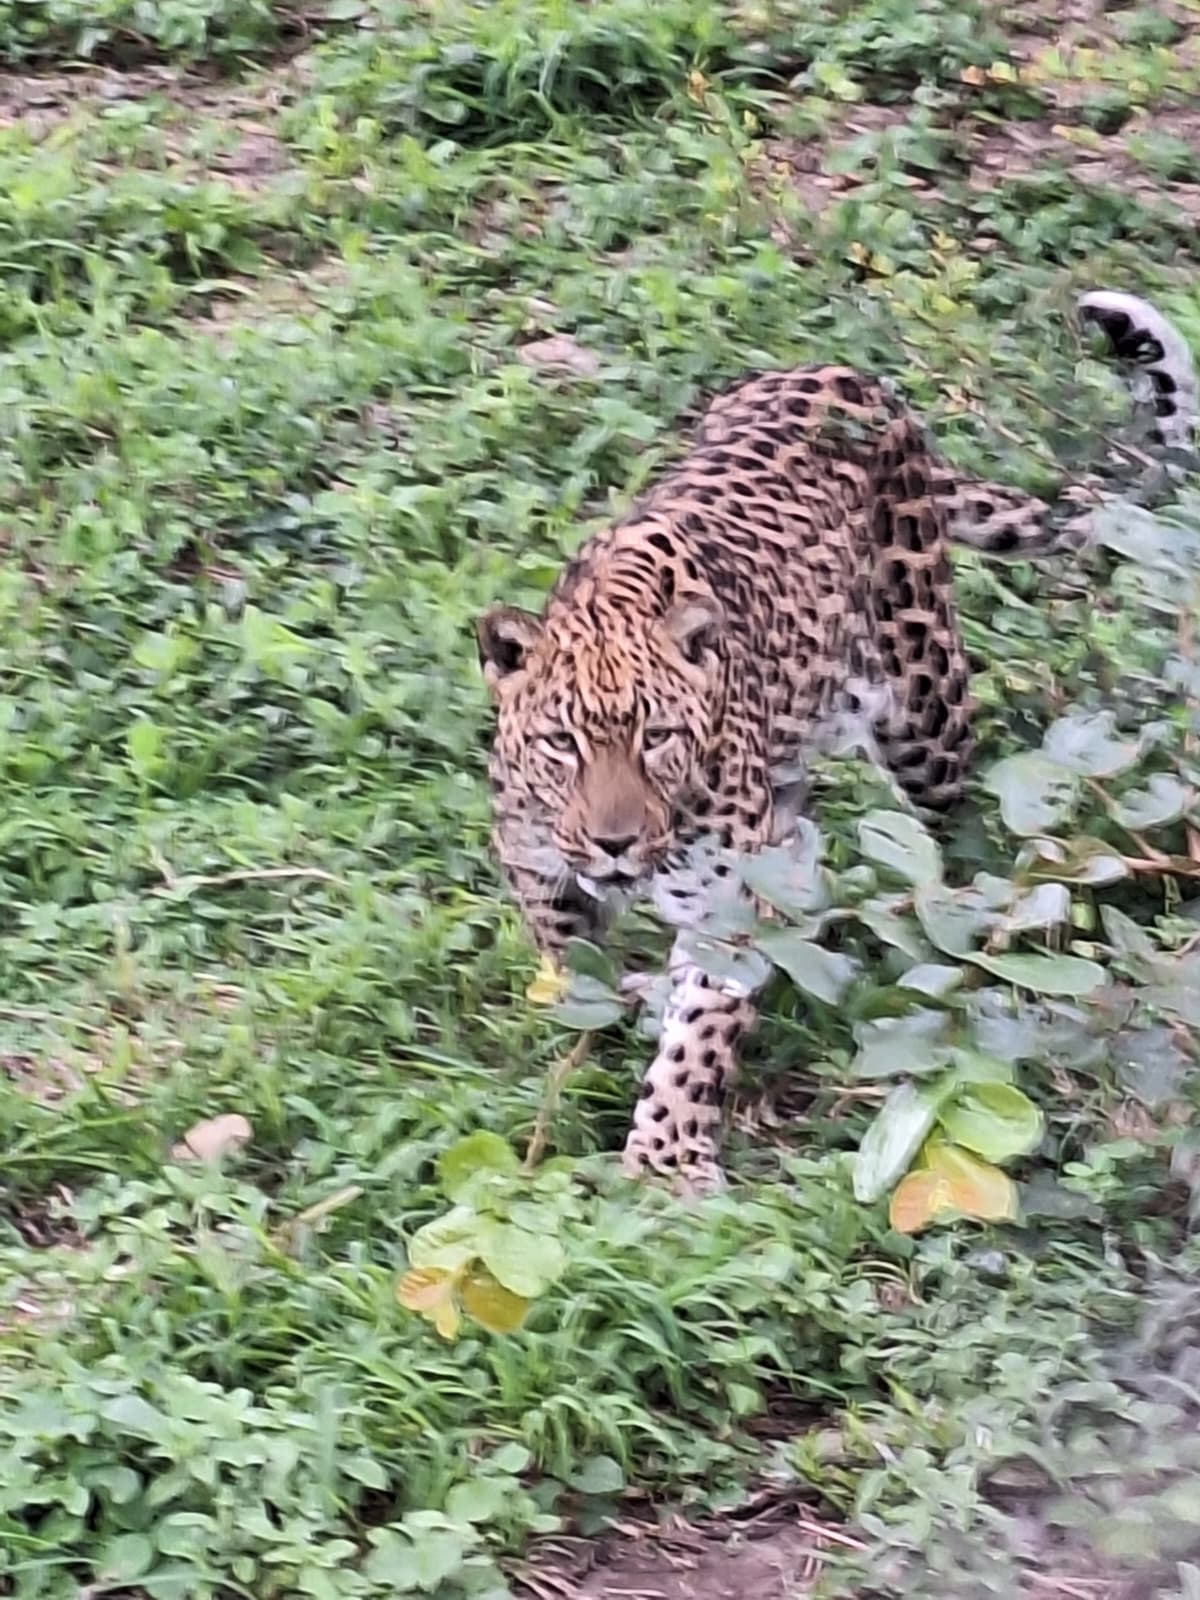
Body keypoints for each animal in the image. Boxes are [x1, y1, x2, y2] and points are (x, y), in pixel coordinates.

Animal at [477, 289, 1197, 1193]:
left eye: (660, 738)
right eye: (562, 743)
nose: (614, 843)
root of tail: (851, 380)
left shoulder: (724, 907)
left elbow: (697, 1034)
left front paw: (667, 1159)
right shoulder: (534, 859)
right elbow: (570, 952)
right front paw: (600, 1021)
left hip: (923, 704)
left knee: (954, 815)